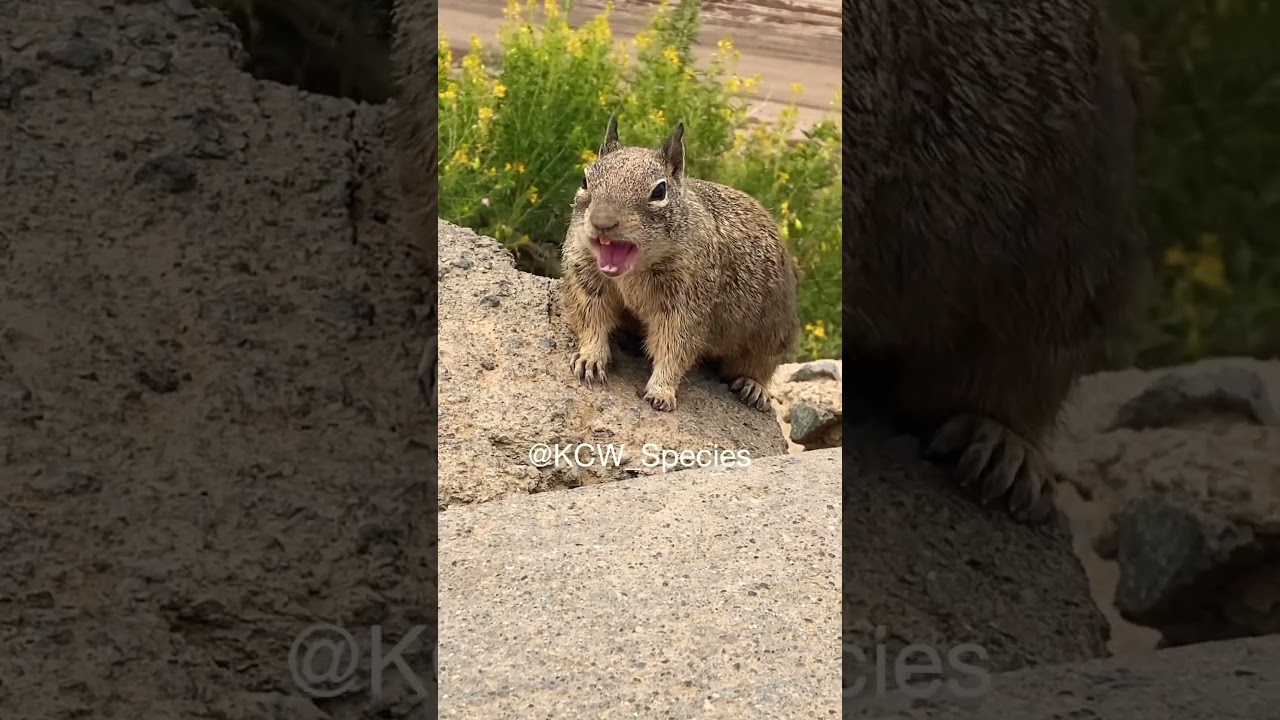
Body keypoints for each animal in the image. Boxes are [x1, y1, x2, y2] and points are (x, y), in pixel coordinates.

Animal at [560, 115, 800, 413]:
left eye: (660, 191)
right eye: (585, 179)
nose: (602, 222)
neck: (631, 273)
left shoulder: (686, 305)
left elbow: (674, 347)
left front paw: (661, 391)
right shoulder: (586, 281)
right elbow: (591, 321)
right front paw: (590, 357)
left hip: (772, 335)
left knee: (759, 366)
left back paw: (754, 388)